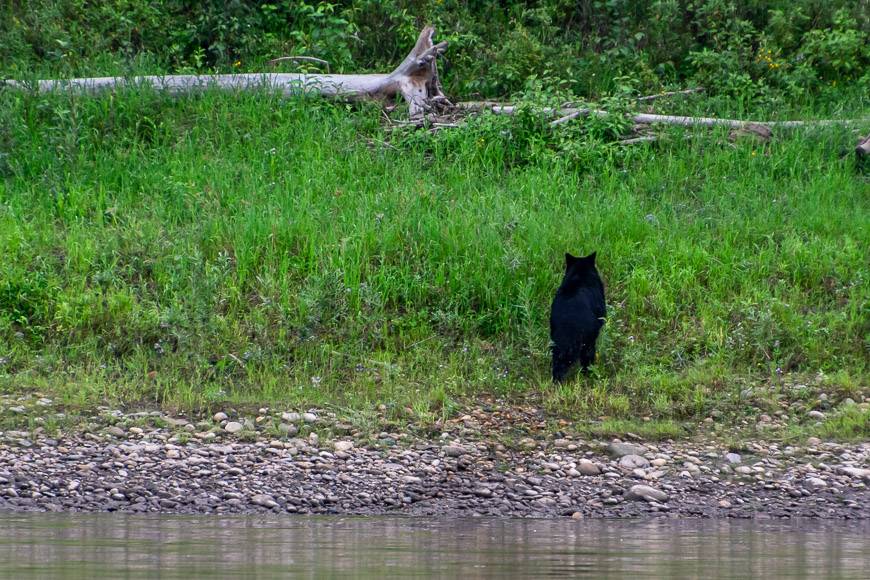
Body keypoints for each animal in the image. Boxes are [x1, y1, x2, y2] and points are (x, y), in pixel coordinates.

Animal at [552, 250, 608, 380]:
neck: (580, 273)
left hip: (557, 341)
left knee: (558, 363)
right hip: (588, 340)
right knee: (587, 357)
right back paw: (588, 373)